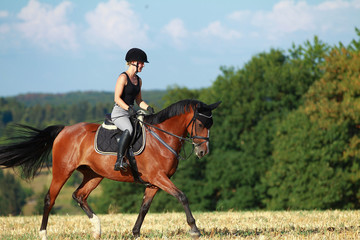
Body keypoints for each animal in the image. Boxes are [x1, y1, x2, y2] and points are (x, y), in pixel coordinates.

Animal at [0, 99, 219, 238]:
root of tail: (65, 129)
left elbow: (144, 207)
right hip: (62, 171)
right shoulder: (158, 177)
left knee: (79, 196)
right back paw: (43, 233)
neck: (162, 137)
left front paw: (135, 233)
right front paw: (194, 229)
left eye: (210, 124)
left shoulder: (154, 183)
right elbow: (182, 196)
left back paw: (97, 229)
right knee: (49, 199)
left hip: (94, 174)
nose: (203, 152)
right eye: (200, 124)